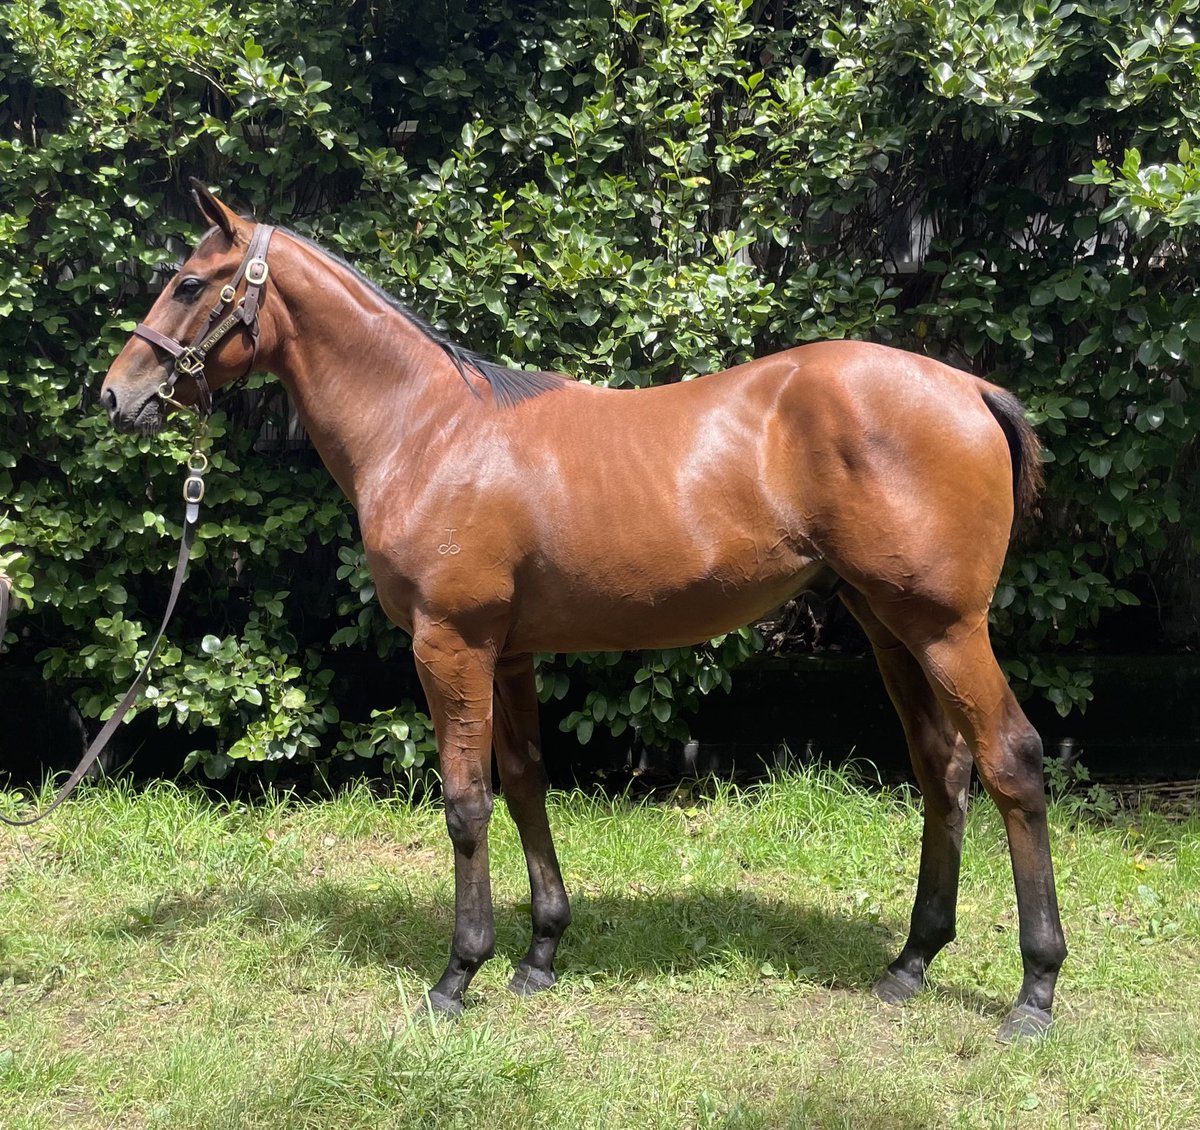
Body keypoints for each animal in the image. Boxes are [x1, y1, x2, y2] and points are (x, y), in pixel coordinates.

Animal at [100, 182, 1066, 1041]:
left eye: (189, 282)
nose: (116, 394)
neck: (428, 431)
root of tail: (969, 390)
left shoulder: (449, 646)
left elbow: (466, 802)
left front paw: (458, 975)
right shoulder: (509, 653)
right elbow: (527, 785)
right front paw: (539, 956)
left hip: (944, 627)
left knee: (1011, 762)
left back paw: (1035, 991)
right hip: (887, 623)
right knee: (943, 770)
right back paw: (911, 963)